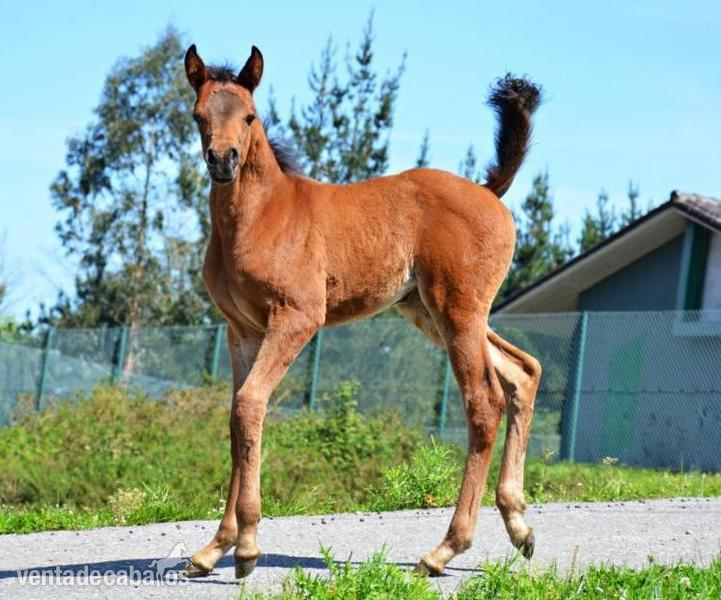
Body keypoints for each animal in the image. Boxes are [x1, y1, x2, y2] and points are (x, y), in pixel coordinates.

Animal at [181, 44, 542, 579]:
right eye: (199, 115)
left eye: (249, 116)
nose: (222, 161)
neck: (259, 217)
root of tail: (487, 190)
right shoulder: (241, 329)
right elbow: (238, 417)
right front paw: (214, 548)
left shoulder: (296, 318)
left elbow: (249, 406)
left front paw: (244, 548)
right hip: (433, 312)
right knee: (523, 372)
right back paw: (519, 527)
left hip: (457, 309)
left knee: (485, 402)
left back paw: (444, 549)